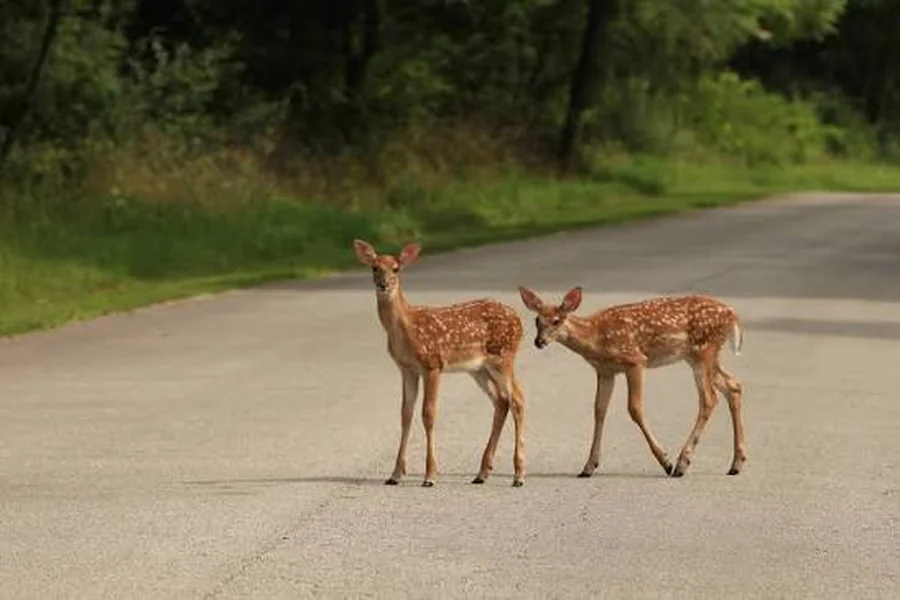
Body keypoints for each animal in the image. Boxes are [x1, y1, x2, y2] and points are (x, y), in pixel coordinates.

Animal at [353, 239, 527, 487]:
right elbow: (405, 414)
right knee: (502, 401)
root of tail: (520, 320)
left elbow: (428, 414)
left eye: (396, 268)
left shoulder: (433, 364)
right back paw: (482, 473)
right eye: (374, 267)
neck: (406, 328)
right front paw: (395, 474)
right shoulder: (406, 369)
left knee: (518, 399)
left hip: (504, 356)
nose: (383, 285)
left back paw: (519, 475)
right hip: (479, 369)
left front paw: (430, 475)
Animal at [517, 286, 746, 479]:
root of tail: (732, 313)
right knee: (733, 386)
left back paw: (682, 463)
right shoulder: (605, 371)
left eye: (557, 320)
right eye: (537, 320)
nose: (539, 342)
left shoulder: (635, 361)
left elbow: (634, 408)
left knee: (709, 398)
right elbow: (599, 410)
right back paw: (736, 464)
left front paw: (665, 461)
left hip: (703, 350)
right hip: (700, 356)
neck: (596, 338)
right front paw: (588, 466)